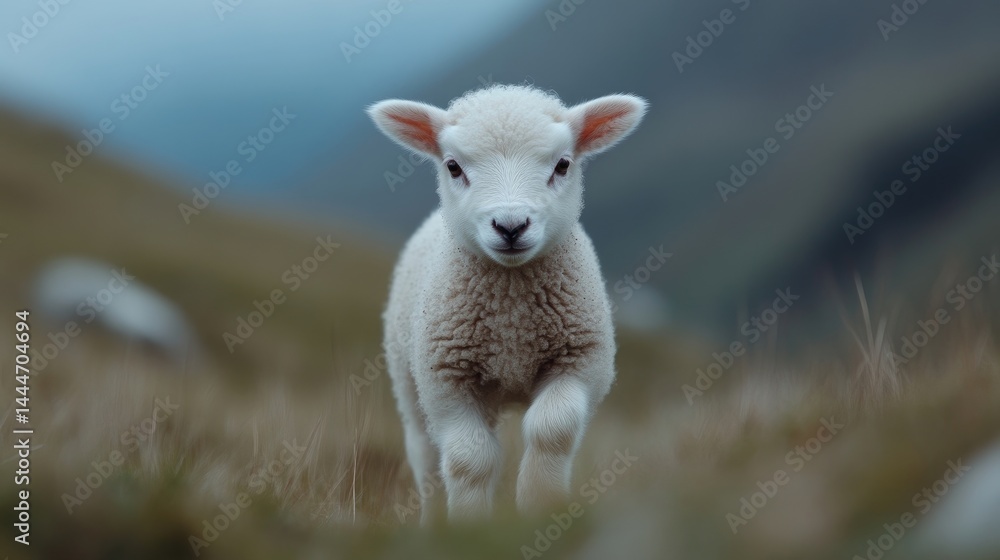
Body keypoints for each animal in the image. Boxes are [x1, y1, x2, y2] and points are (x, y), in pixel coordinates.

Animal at [368, 84, 647, 523]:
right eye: (453, 167)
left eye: (563, 164)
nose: (511, 226)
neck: (512, 321)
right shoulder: (446, 379)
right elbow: (469, 459)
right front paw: (470, 524)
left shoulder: (581, 360)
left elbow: (552, 429)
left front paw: (539, 503)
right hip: (409, 388)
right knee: (426, 458)